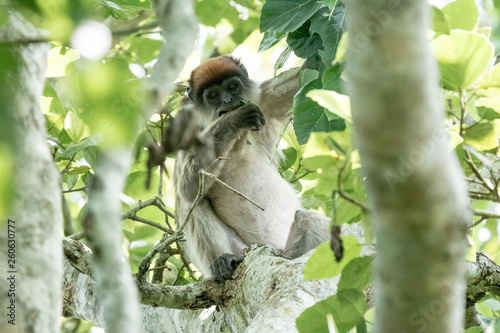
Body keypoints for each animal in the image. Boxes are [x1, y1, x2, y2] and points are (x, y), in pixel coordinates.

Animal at [174, 55, 330, 280]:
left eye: (232, 87)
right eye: (213, 95)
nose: (228, 101)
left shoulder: (265, 99)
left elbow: (309, 72)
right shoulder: (186, 128)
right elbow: (187, 188)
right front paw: (233, 119)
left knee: (304, 217)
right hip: (243, 251)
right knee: (193, 203)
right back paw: (222, 261)